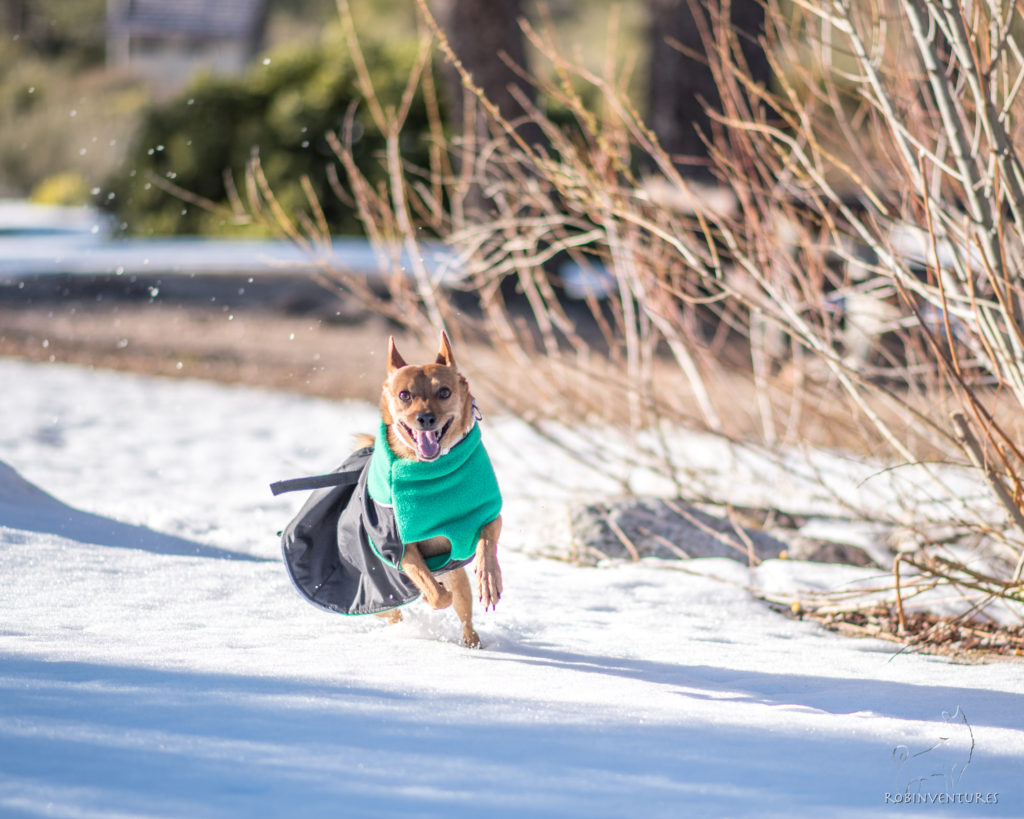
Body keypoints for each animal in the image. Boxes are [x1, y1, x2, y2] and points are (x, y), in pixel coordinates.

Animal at [370, 331, 501, 647]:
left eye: (444, 392)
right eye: (404, 395)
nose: (426, 418)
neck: (430, 468)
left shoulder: (488, 515)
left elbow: (487, 544)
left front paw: (489, 580)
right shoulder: (402, 547)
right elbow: (434, 591)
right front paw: (435, 593)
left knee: (465, 614)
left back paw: (472, 642)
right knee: (394, 611)